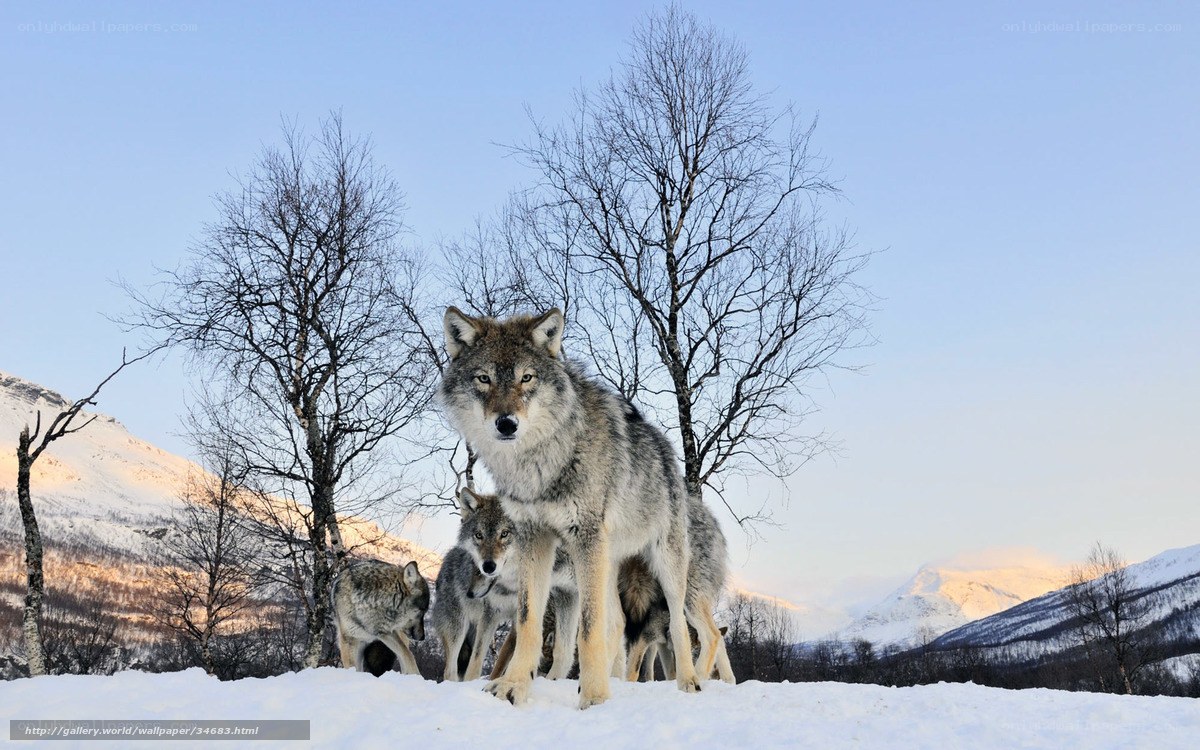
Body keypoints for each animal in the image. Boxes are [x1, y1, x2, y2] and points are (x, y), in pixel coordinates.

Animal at [431, 487, 579, 682]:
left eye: (504, 534)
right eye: (479, 536)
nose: (469, 593)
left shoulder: (518, 624)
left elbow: (501, 662)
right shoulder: (491, 614)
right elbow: (478, 662)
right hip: (457, 627)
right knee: (450, 669)